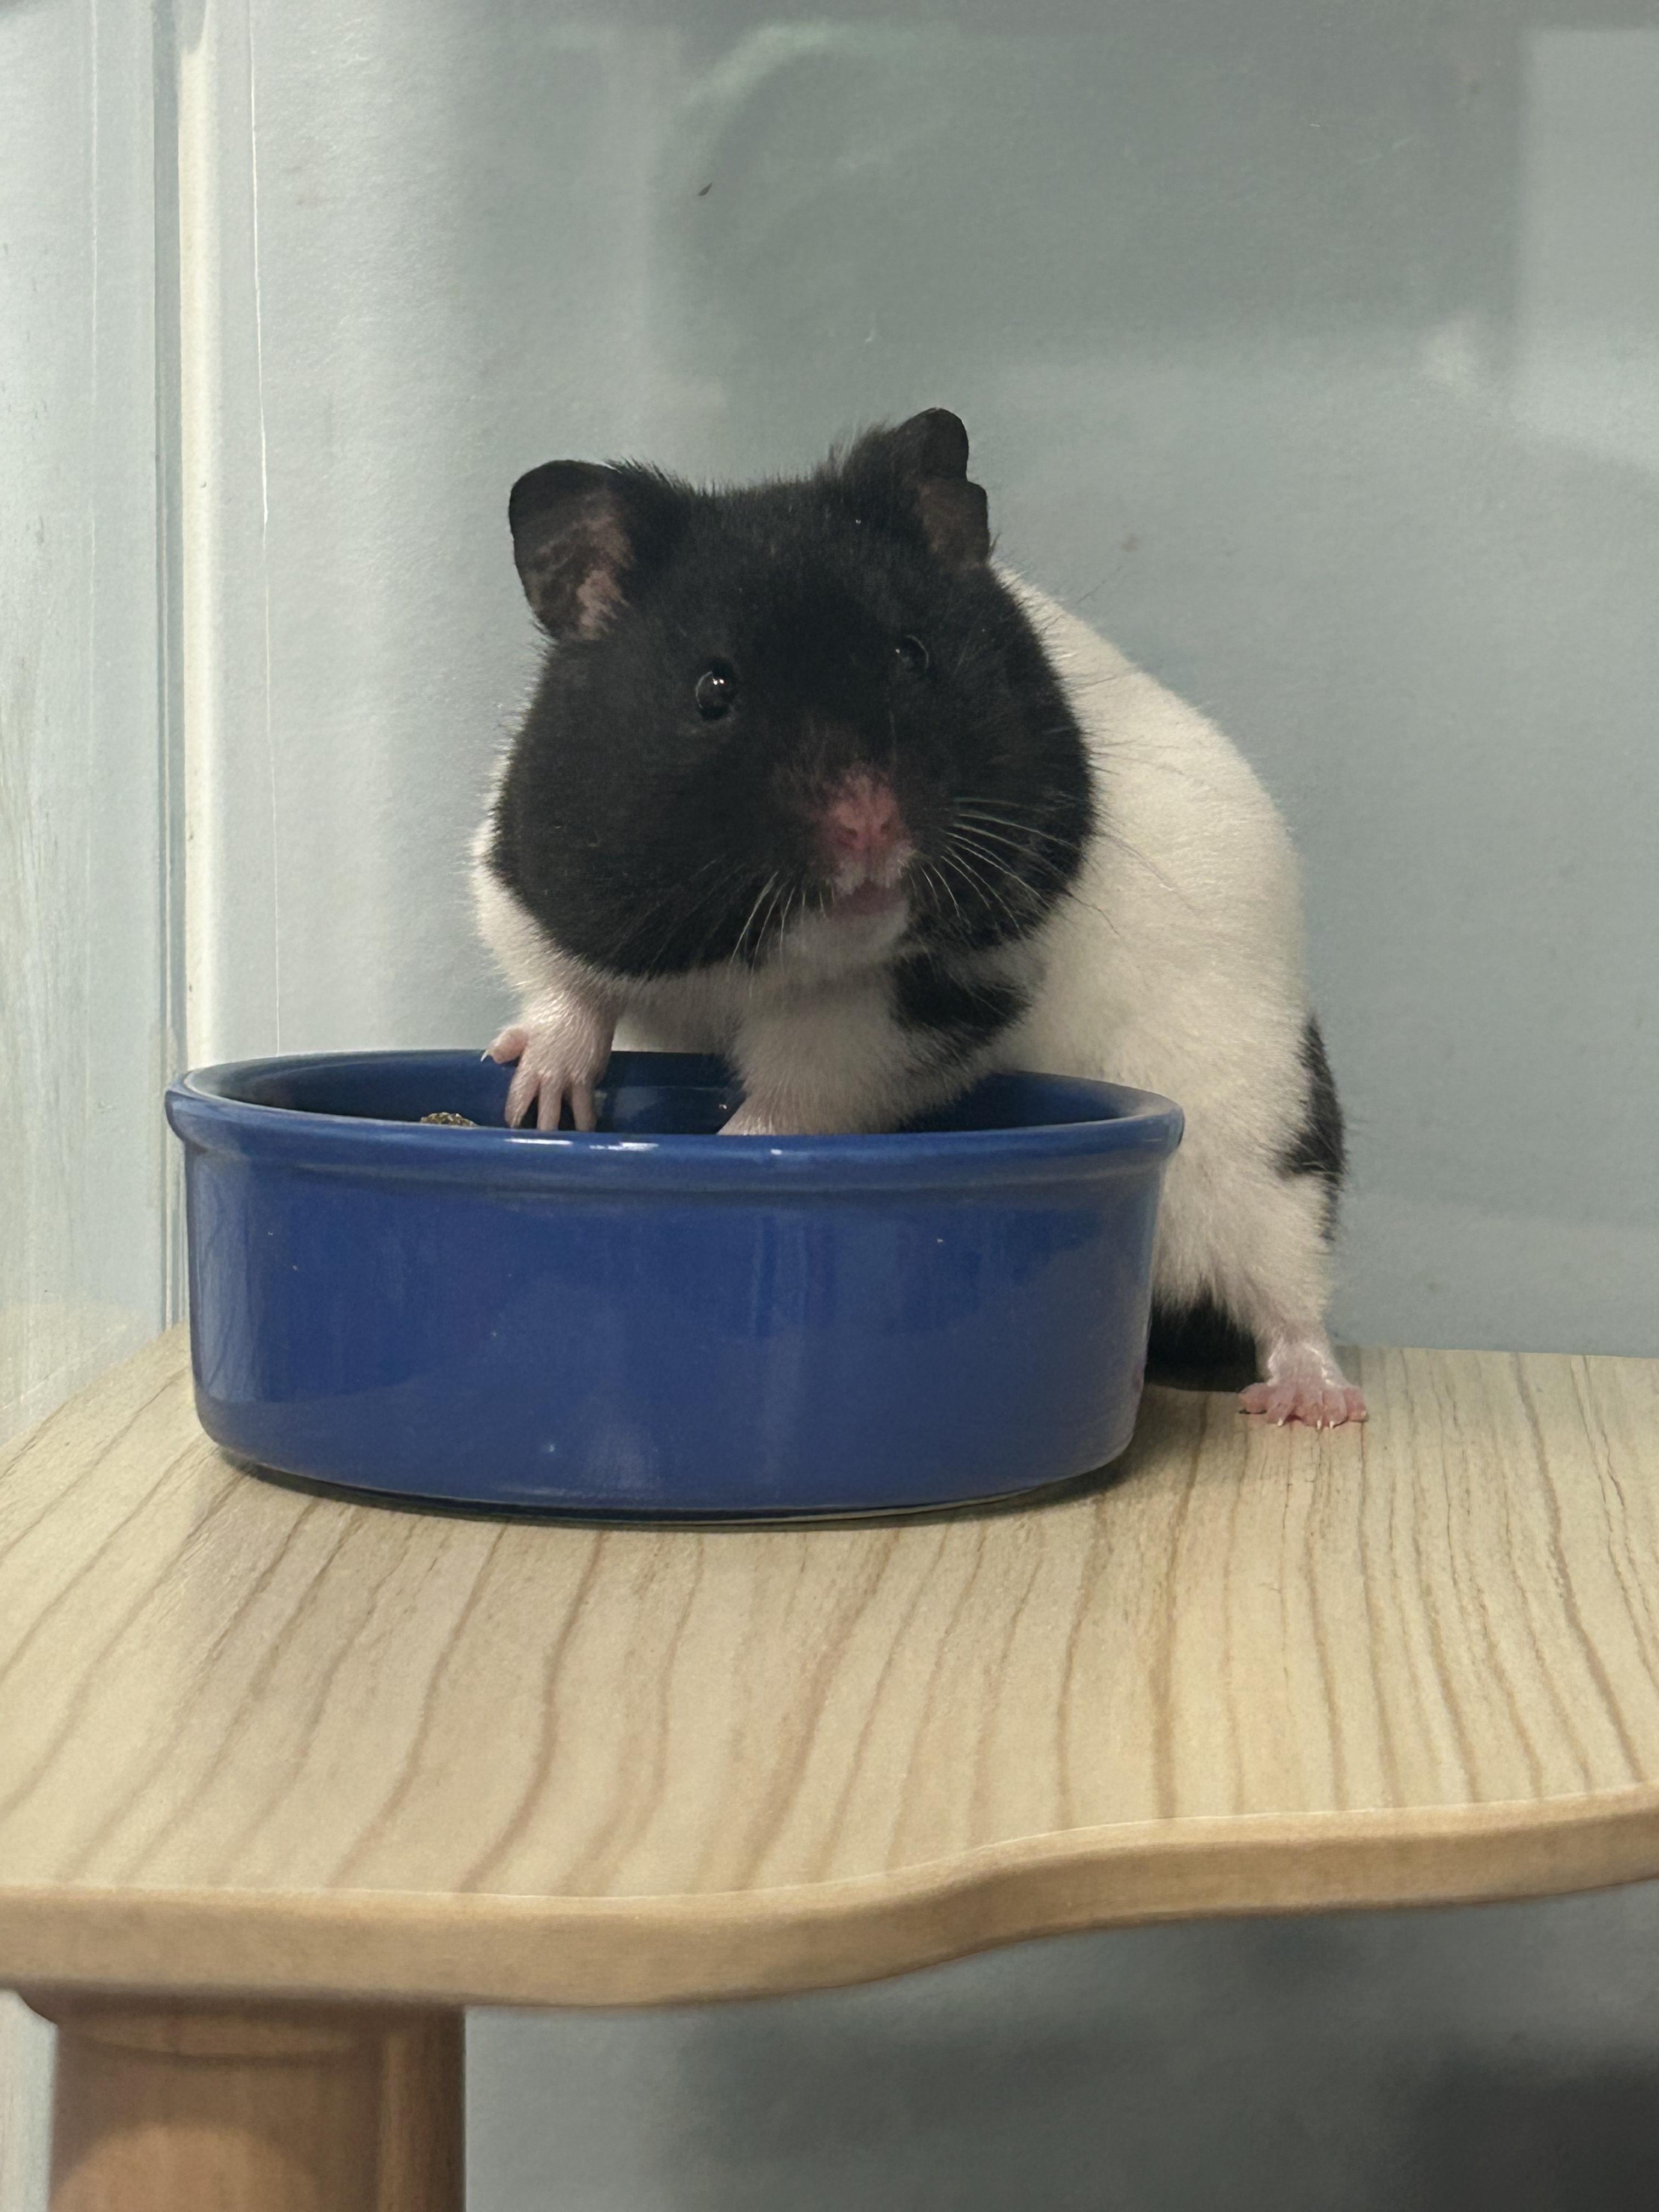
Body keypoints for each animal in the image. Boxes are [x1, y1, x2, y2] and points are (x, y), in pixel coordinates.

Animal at [474, 409, 1366, 1428]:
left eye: (912, 656)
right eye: (713, 690)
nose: (870, 826)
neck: (757, 950)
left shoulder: (946, 986)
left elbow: (803, 1083)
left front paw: (732, 1147)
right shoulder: (528, 882)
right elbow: (564, 988)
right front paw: (538, 1101)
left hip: (1262, 1135)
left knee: (1287, 1287)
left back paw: (1311, 1403)